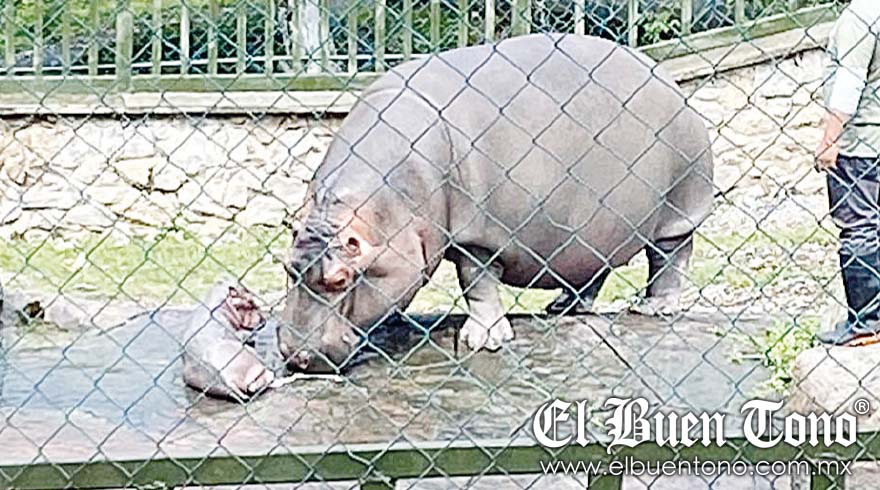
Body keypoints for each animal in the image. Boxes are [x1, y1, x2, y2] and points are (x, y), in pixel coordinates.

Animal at [279, 33, 714, 372]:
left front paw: (483, 341)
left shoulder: (479, 236)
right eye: (286, 267)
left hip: (680, 206)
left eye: (340, 280)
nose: (297, 357)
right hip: (598, 227)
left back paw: (655, 308)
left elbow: (477, 282)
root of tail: (661, 71)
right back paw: (563, 308)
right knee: (593, 269)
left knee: (670, 257)